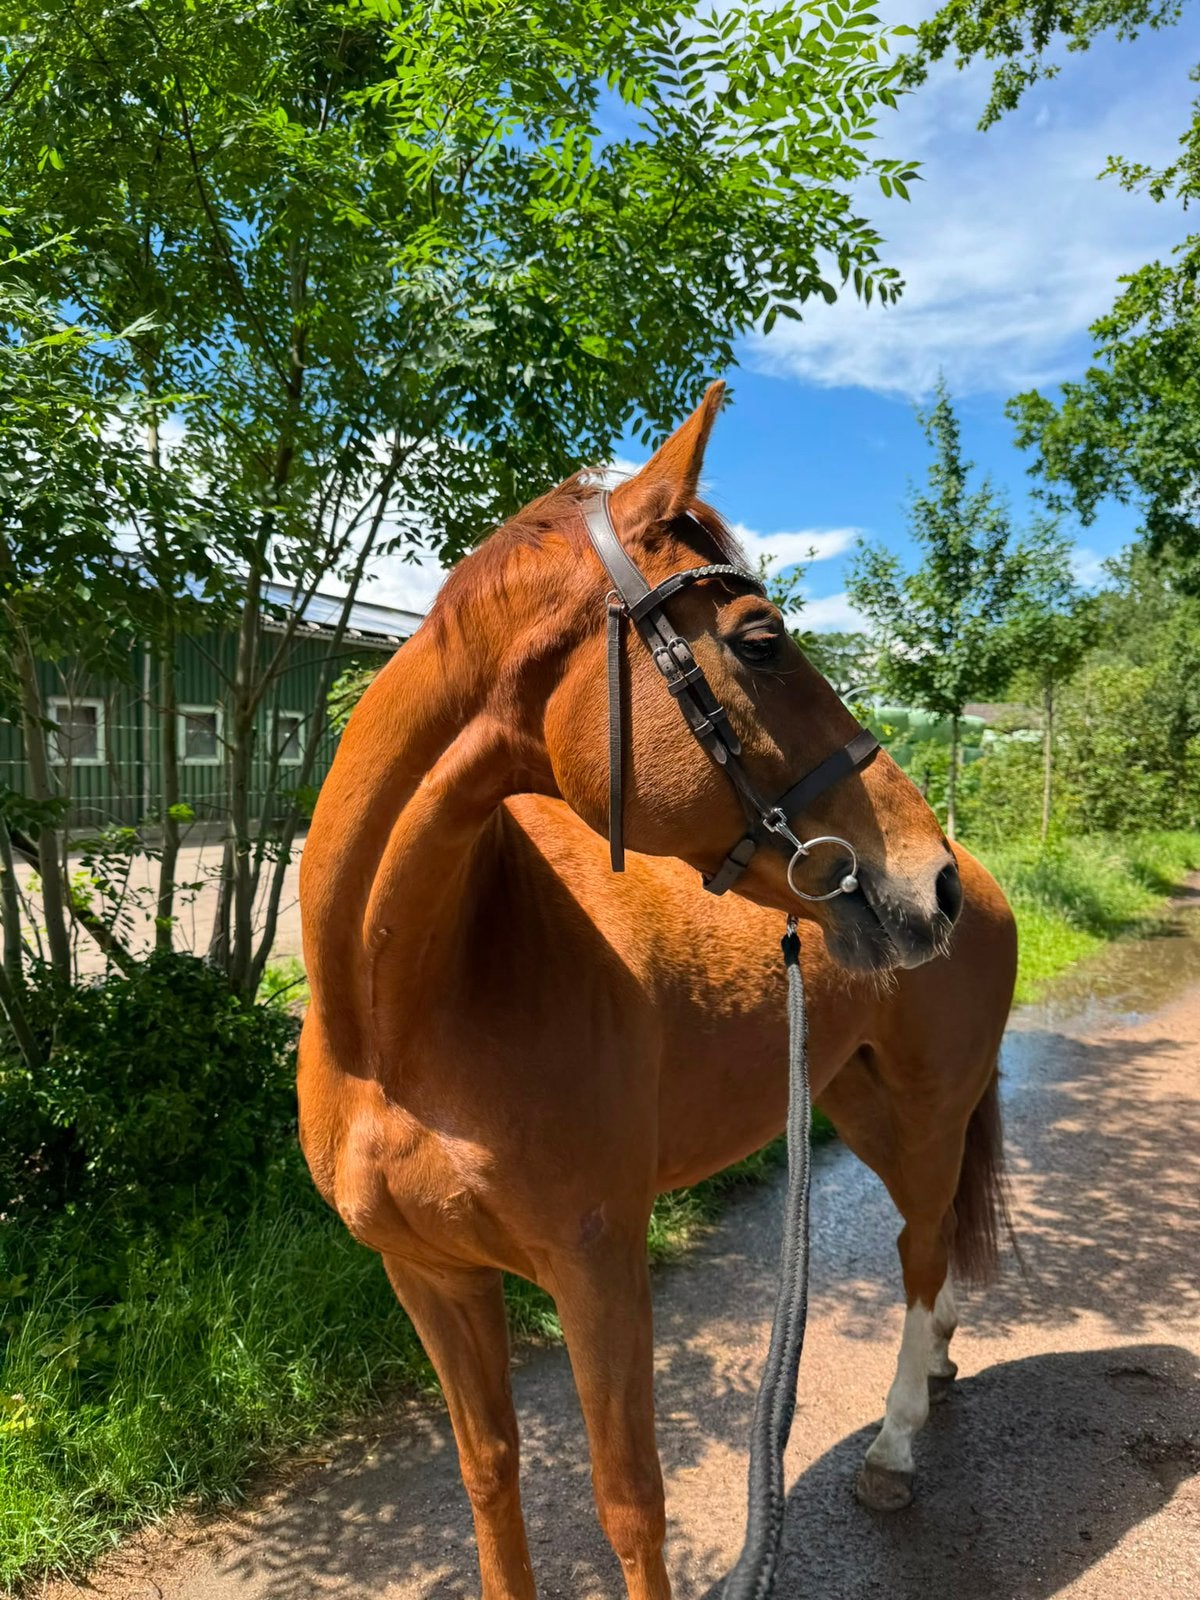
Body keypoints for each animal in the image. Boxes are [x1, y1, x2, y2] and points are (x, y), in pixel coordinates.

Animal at [297, 382, 1017, 1600]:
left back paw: (893, 1445)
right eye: (761, 641)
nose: (933, 885)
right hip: (859, 1104)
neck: (402, 1023)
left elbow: (630, 1499)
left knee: (923, 1251)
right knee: (932, 1249)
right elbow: (490, 1473)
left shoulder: (597, 1265)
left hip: (926, 1116)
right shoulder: (429, 1275)